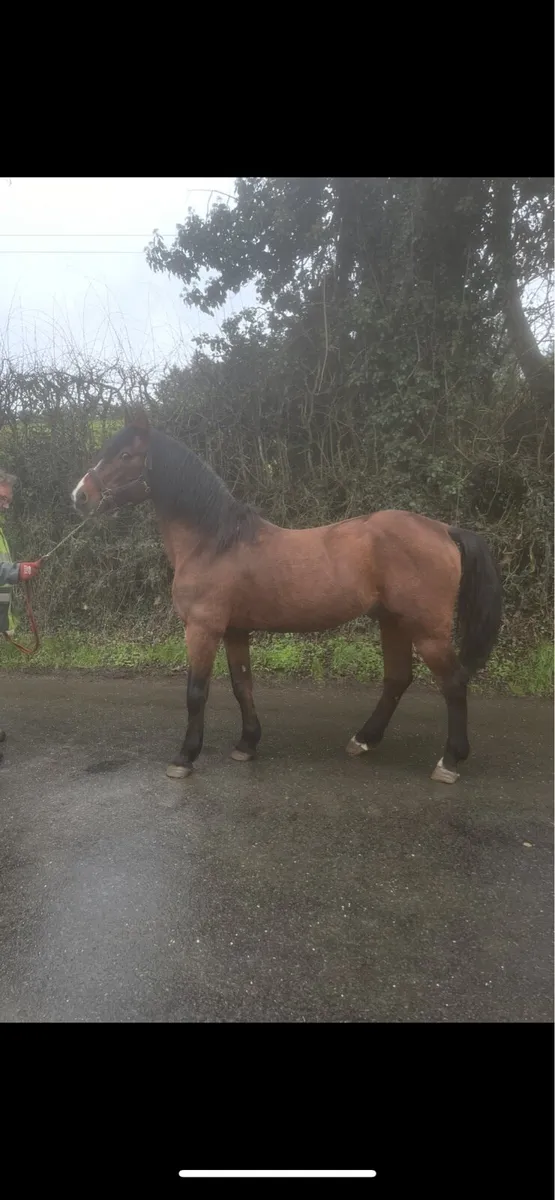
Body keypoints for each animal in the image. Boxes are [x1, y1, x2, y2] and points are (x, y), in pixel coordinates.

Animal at [71, 411, 502, 785]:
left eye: (125, 456)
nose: (80, 495)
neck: (214, 542)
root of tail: (444, 529)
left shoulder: (203, 628)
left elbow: (197, 692)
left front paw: (184, 757)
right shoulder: (235, 630)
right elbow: (242, 685)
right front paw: (247, 744)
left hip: (426, 630)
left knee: (454, 683)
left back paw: (449, 761)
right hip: (392, 620)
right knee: (397, 678)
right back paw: (363, 740)